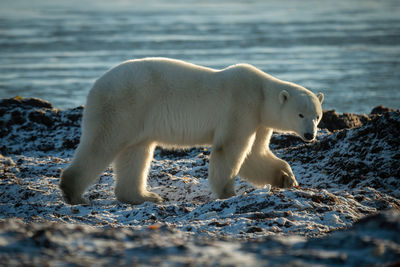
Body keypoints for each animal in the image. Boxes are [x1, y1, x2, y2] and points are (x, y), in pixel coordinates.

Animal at [59, 58, 324, 205]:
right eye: (300, 115)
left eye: (317, 116)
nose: (310, 136)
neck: (261, 92)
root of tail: (96, 85)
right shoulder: (242, 107)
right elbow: (230, 149)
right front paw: (228, 192)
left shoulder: (259, 121)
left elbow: (255, 155)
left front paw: (287, 178)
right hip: (123, 106)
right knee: (101, 145)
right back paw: (74, 193)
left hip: (138, 120)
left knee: (135, 153)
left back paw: (144, 196)